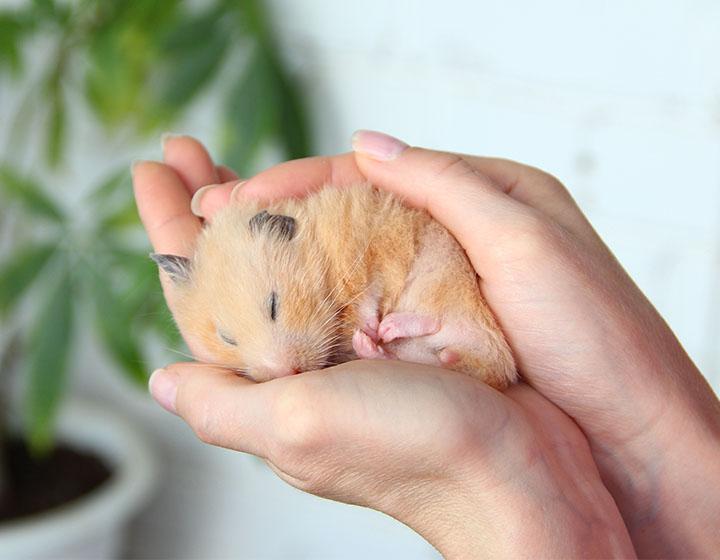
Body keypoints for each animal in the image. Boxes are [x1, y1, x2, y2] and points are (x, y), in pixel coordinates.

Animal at [152, 184, 517, 389]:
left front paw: (370, 323)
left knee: (435, 319)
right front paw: (366, 333)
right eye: (227, 338)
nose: (288, 372)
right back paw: (372, 344)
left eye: (274, 305)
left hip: (443, 274)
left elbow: (371, 291)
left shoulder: (375, 248)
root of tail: (501, 368)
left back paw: (386, 327)